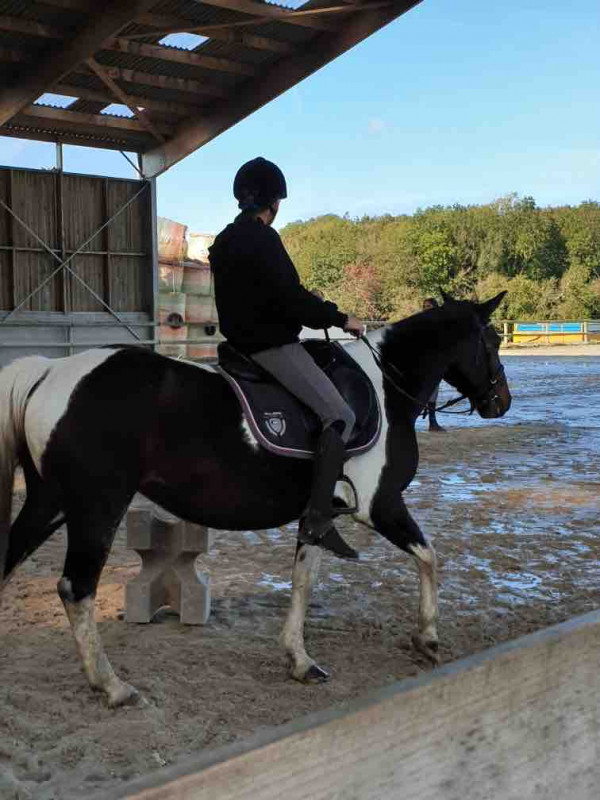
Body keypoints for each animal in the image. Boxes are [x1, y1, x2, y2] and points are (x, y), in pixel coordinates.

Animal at [0, 292, 511, 707]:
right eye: (492, 340)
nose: (500, 401)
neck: (385, 390)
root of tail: (50, 370)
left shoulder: (321, 514)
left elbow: (304, 580)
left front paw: (300, 660)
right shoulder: (379, 505)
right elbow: (429, 556)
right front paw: (427, 637)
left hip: (51, 501)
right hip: (97, 506)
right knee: (77, 588)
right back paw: (113, 686)